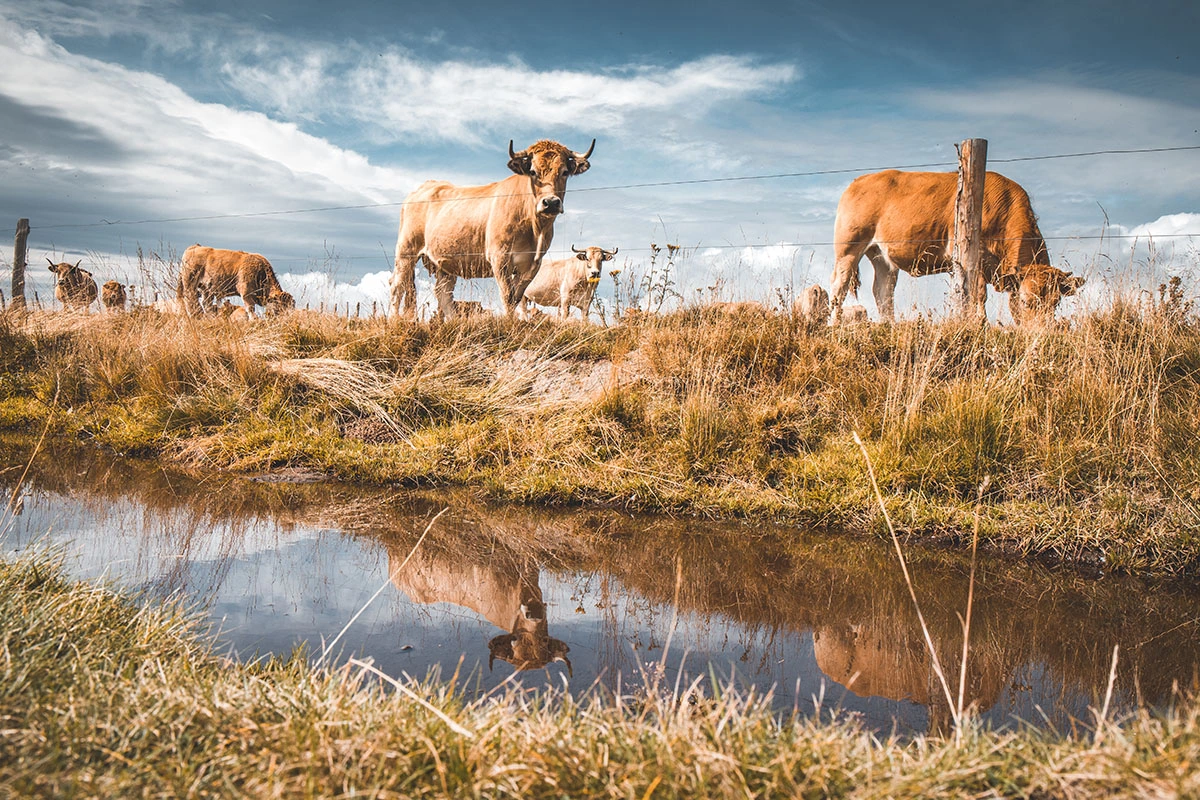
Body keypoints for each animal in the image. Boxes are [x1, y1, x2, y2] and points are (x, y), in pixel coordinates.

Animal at [393, 139, 595, 321]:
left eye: (565, 172)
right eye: (532, 171)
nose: (551, 202)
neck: (535, 228)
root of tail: (426, 185)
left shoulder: (532, 264)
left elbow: (517, 297)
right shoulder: (500, 257)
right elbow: (507, 295)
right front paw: (509, 324)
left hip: (445, 262)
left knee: (443, 293)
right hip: (406, 251)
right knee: (397, 286)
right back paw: (394, 319)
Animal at [830, 170, 1084, 323]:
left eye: (1056, 302)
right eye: (1026, 301)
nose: (1041, 331)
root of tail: (858, 181)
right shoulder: (975, 258)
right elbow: (978, 295)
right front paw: (979, 324)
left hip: (882, 257)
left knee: (883, 292)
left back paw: (889, 325)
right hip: (848, 248)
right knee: (838, 286)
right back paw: (834, 323)